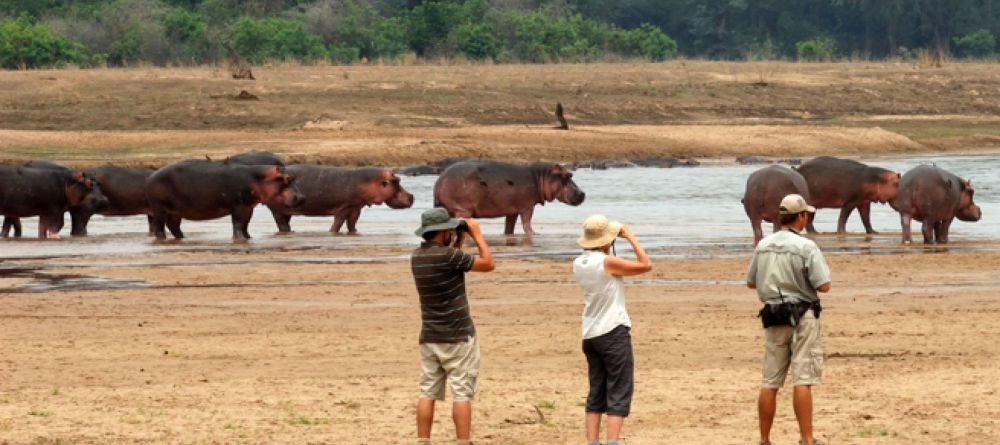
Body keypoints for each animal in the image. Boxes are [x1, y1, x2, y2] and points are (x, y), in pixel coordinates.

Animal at [145, 160, 305, 240]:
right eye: (285, 178)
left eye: (293, 177)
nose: (302, 197)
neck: (257, 178)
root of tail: (151, 176)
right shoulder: (238, 206)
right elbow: (238, 223)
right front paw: (240, 239)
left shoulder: (248, 207)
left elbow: (245, 224)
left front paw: (248, 238)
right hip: (159, 209)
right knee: (159, 226)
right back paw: (162, 239)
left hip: (175, 212)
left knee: (174, 226)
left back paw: (182, 238)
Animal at [267, 165, 414, 233]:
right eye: (396, 180)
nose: (412, 196)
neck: (370, 181)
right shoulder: (345, 206)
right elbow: (338, 222)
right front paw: (332, 232)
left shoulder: (356, 207)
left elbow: (352, 223)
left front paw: (354, 232)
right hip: (277, 210)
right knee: (281, 223)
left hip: (285, 211)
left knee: (284, 224)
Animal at [434, 160, 586, 235]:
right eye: (566, 175)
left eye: (571, 174)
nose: (583, 193)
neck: (541, 176)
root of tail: (440, 180)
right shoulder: (527, 206)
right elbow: (527, 223)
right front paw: (535, 234)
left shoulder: (512, 210)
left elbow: (509, 227)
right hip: (462, 210)